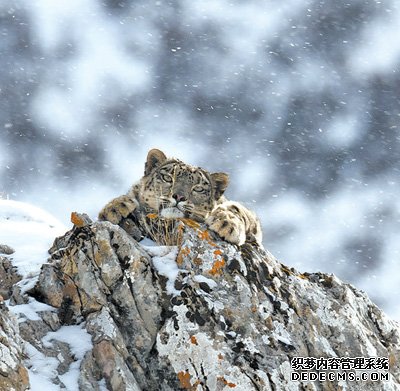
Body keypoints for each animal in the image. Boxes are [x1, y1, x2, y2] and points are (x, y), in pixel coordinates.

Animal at [98, 149, 262, 247]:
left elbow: (237, 208)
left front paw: (227, 225)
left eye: (198, 188)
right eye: (167, 177)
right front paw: (114, 208)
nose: (179, 196)